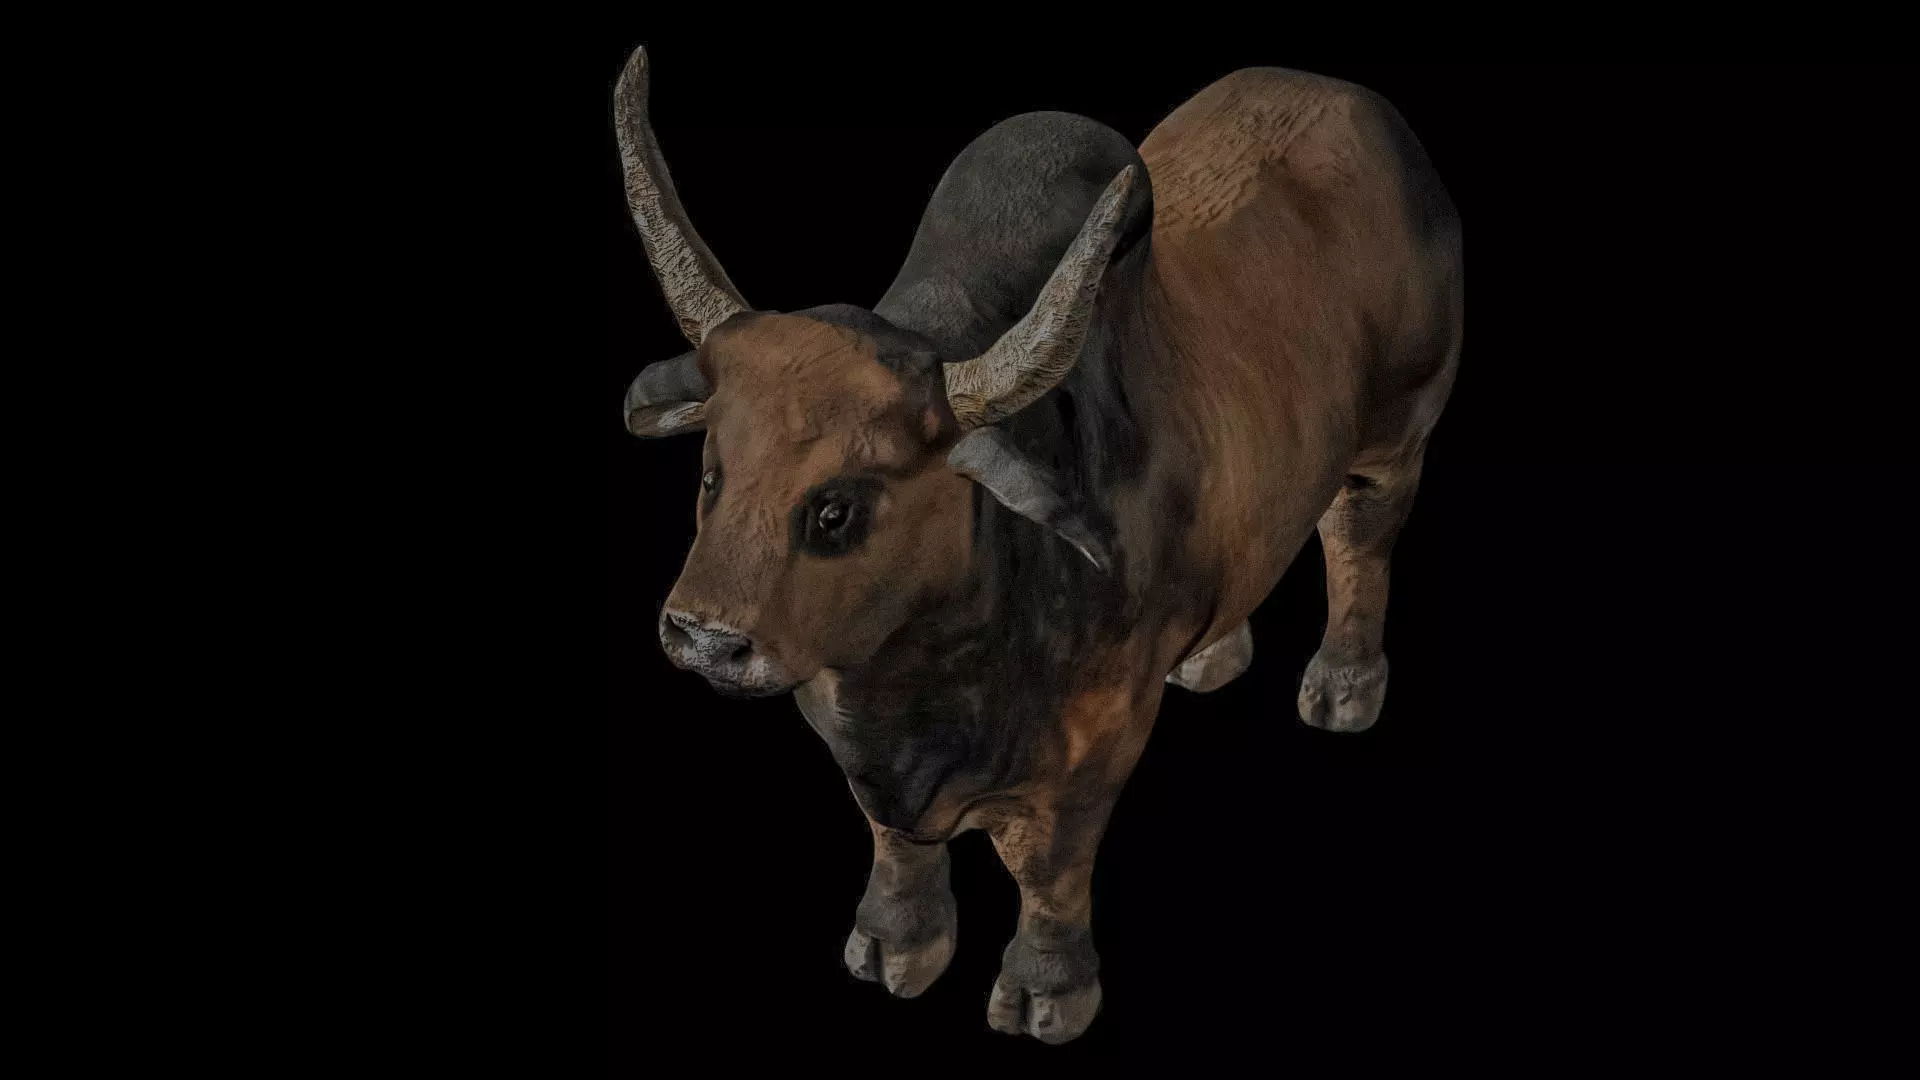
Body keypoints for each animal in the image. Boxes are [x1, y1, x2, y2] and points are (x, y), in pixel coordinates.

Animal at [613, 47, 1462, 1044]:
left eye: (836, 511)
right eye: (712, 474)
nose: (704, 636)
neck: (923, 680)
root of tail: (1354, 104)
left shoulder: (1098, 738)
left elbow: (1049, 863)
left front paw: (1046, 989)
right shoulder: (858, 746)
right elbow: (893, 841)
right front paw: (896, 944)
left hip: (1394, 441)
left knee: (1359, 541)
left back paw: (1342, 687)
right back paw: (1209, 655)